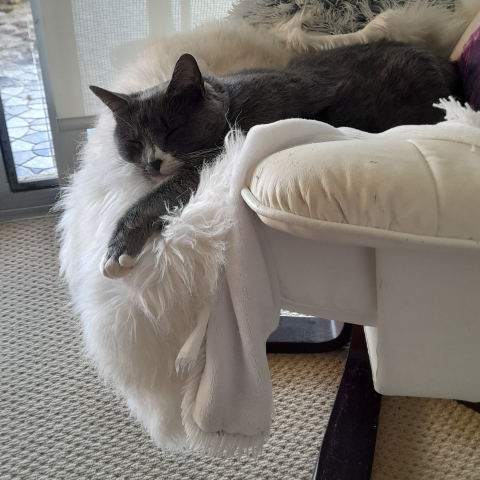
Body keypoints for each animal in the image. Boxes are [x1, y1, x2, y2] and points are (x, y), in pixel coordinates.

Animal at [90, 39, 462, 276]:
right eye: (134, 141)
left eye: (171, 130)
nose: (151, 162)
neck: (230, 104)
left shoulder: (214, 158)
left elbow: (158, 195)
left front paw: (117, 250)